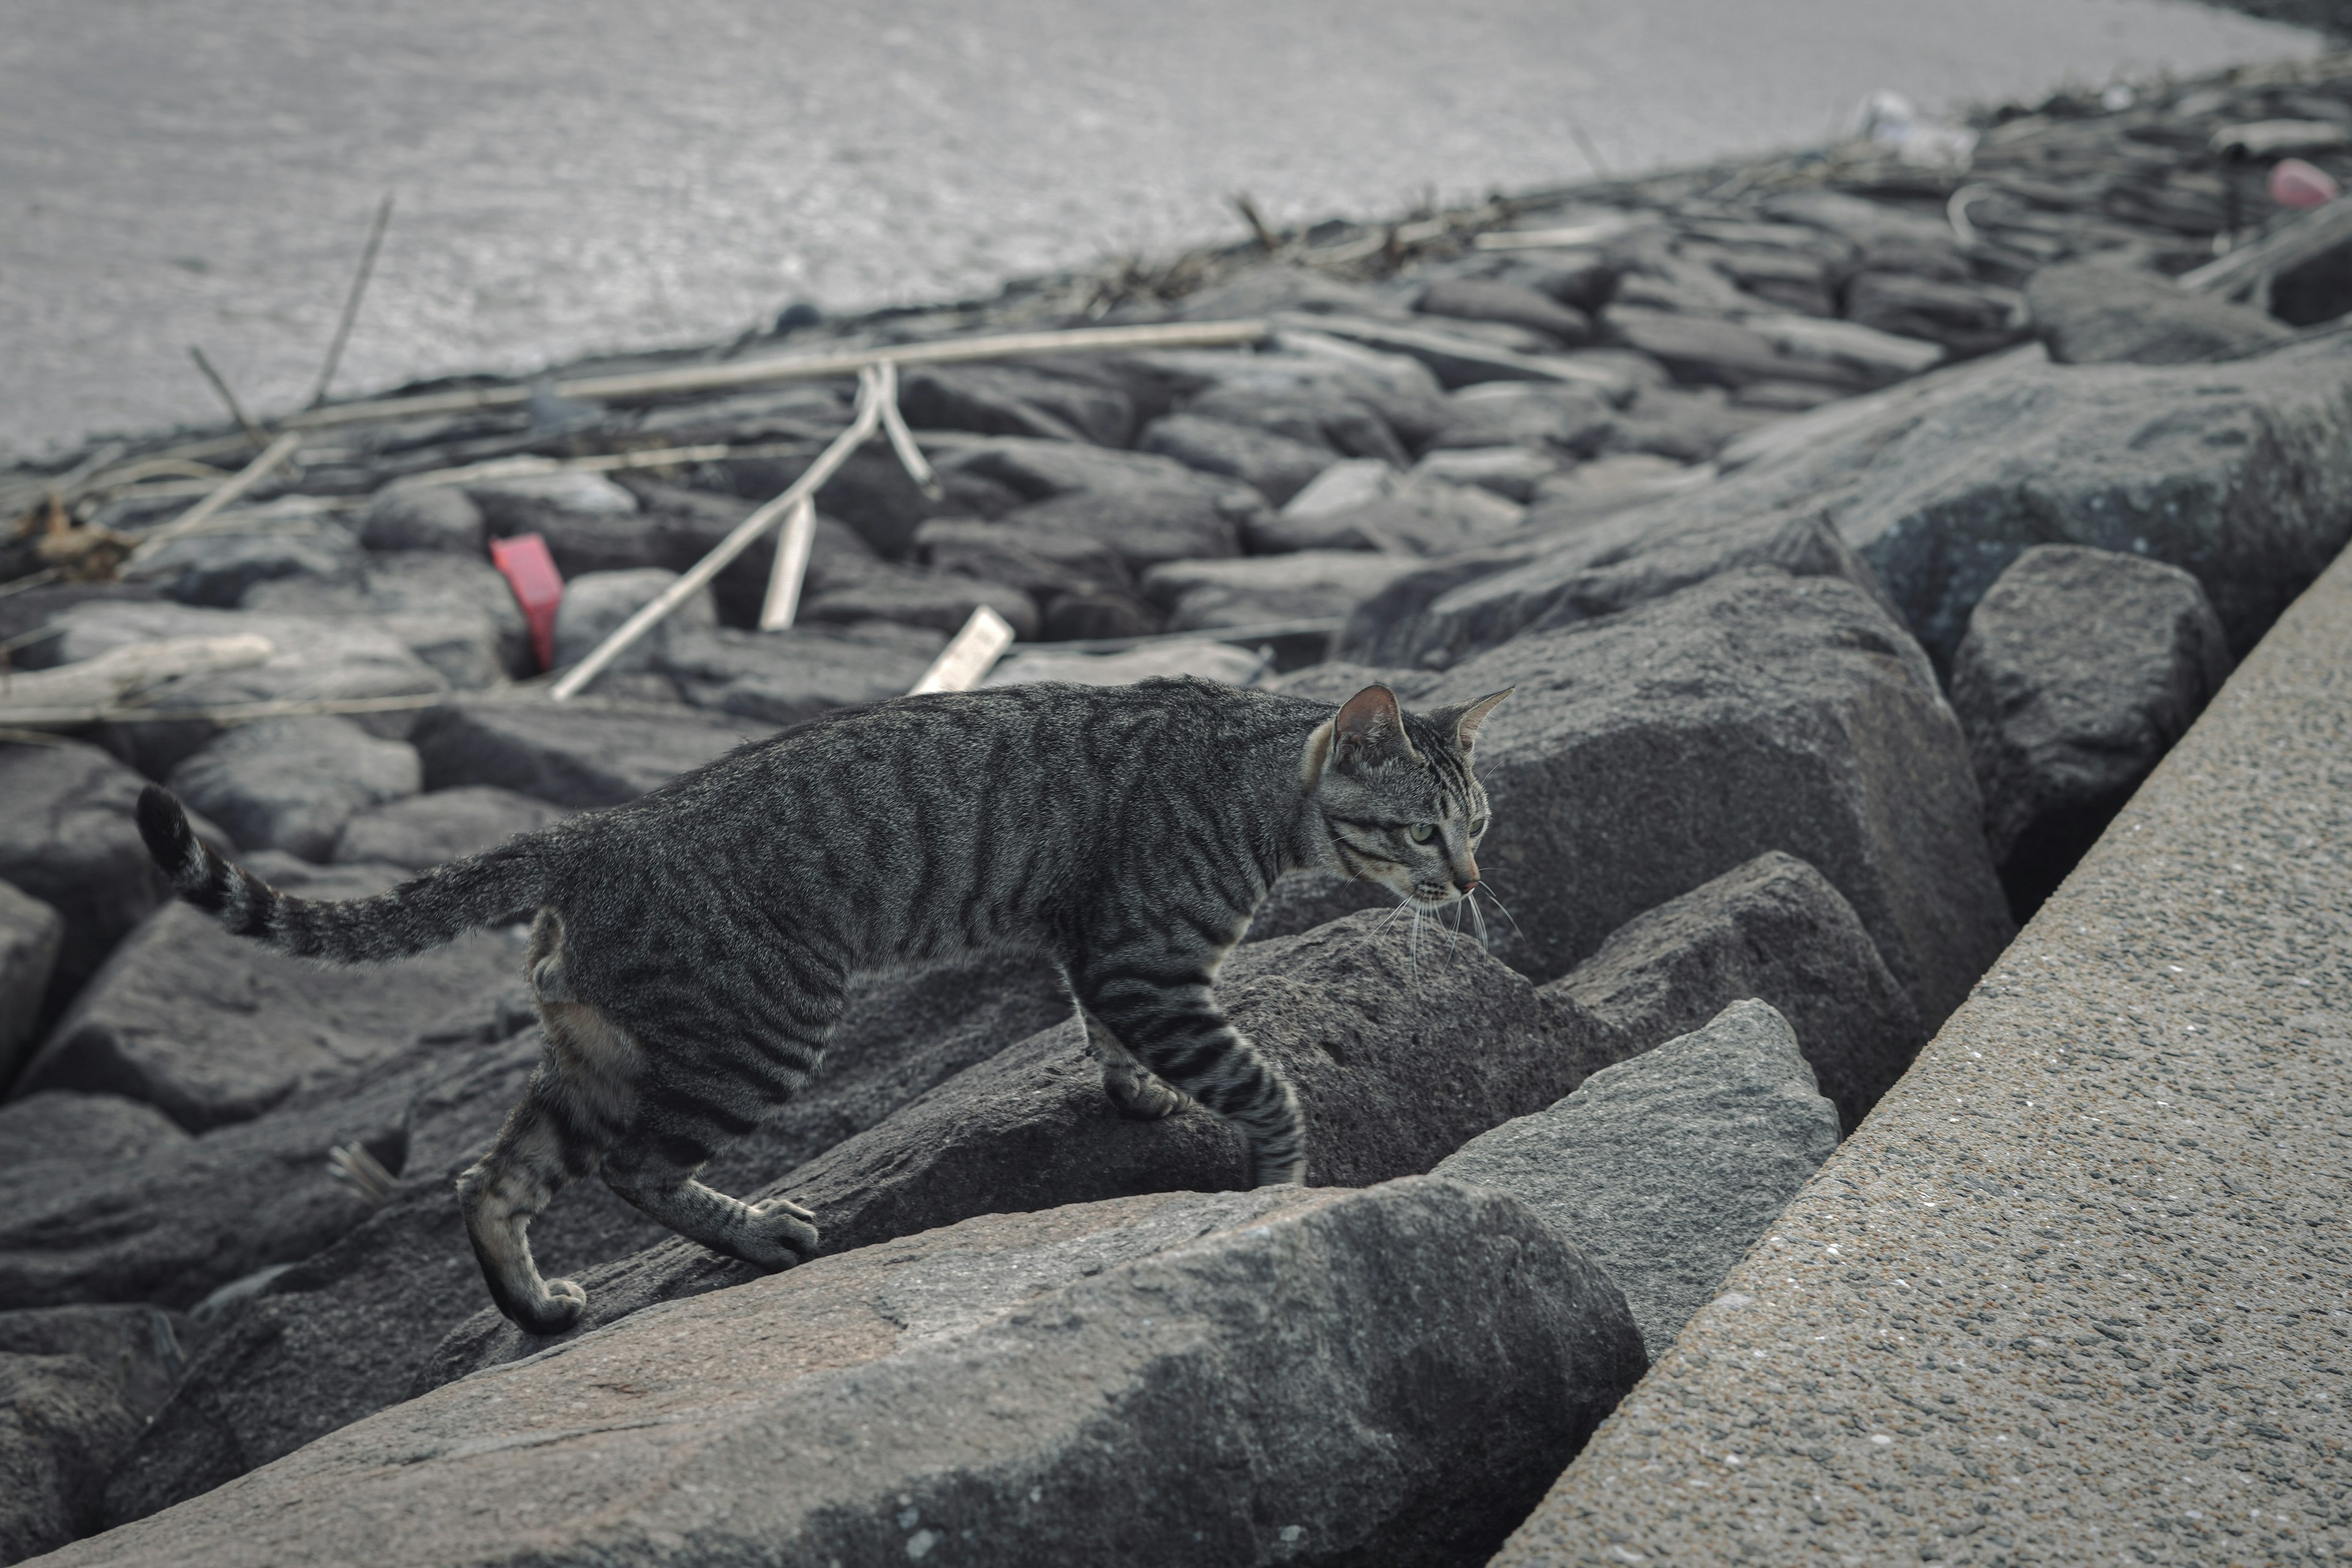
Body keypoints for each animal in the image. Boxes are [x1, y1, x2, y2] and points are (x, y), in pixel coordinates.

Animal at [142, 677, 1505, 1335]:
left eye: (1480, 822)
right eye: (1420, 831)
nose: (1471, 883)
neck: (1248, 780)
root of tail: (595, 829)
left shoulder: (1103, 954)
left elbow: (1107, 1034)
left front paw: (1136, 1090)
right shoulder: (1143, 957)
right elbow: (1262, 1082)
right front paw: (1277, 1179)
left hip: (604, 1050)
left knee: (490, 1174)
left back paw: (534, 1305)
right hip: (762, 1031)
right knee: (632, 1167)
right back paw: (755, 1235)